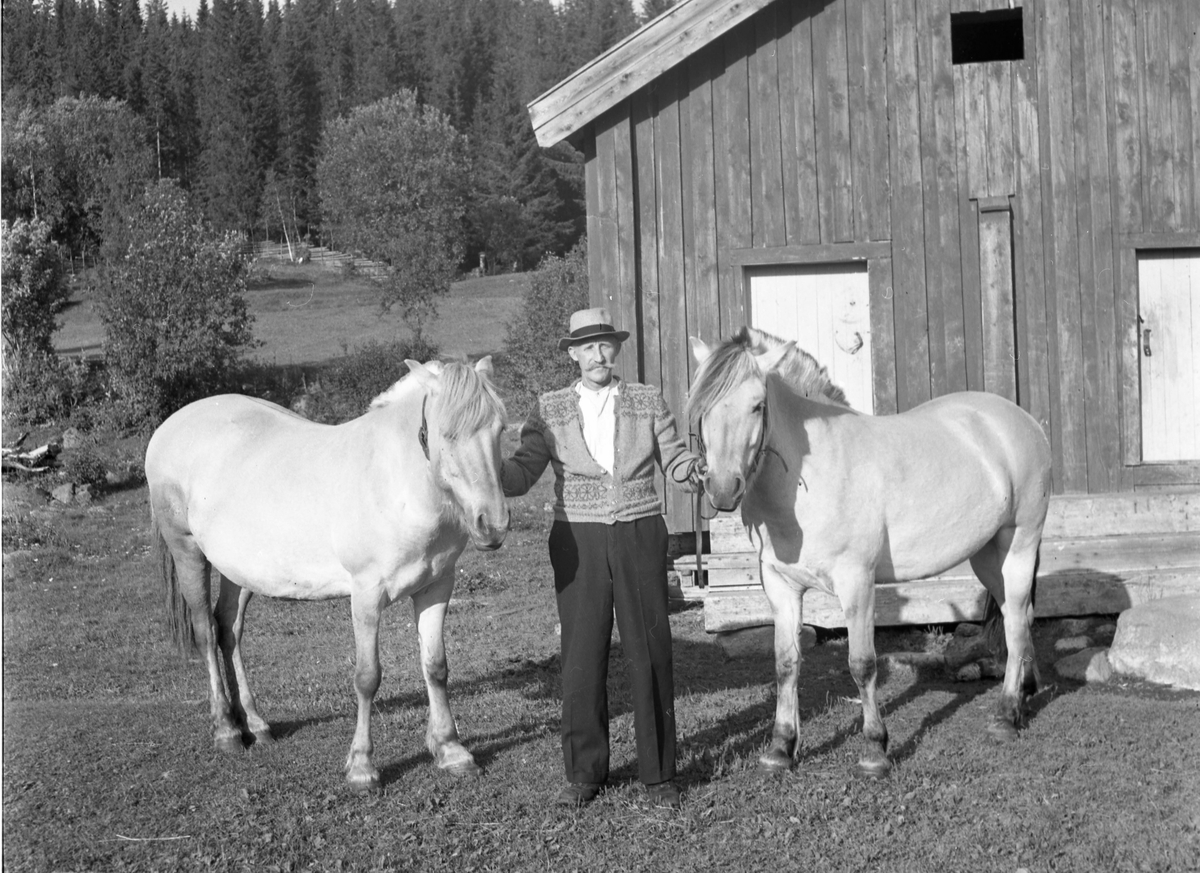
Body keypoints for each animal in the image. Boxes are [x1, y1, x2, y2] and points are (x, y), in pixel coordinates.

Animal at [147, 357, 508, 791]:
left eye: (501, 429)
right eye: (448, 433)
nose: (493, 525)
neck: (396, 483)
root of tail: (170, 426)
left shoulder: (437, 586)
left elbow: (436, 667)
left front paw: (452, 750)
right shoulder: (367, 595)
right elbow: (368, 677)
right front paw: (362, 767)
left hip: (239, 569)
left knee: (228, 629)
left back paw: (254, 724)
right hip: (187, 551)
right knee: (204, 630)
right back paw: (226, 730)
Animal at [686, 326, 1051, 777]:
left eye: (757, 405)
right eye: (701, 407)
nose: (722, 488)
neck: (814, 474)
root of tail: (1025, 423)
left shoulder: (857, 581)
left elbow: (861, 664)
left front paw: (875, 750)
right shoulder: (781, 586)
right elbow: (786, 663)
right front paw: (780, 747)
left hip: (1020, 545)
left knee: (1016, 624)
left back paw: (1006, 716)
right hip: (987, 556)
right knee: (1019, 618)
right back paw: (1025, 693)